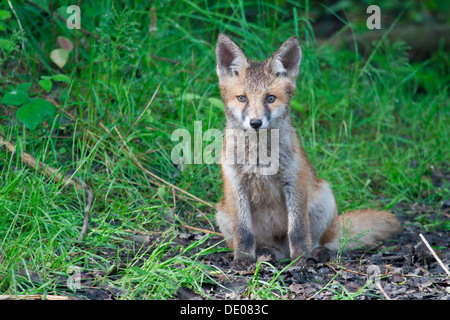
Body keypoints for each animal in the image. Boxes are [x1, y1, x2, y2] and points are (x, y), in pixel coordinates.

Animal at [214, 34, 400, 270]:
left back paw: (317, 253)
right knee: (270, 247)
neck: (260, 159)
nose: (255, 123)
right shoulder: (236, 186)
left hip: (325, 199)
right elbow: (244, 233)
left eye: (270, 98)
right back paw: (267, 254)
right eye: (242, 98)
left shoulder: (294, 182)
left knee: (326, 242)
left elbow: (298, 230)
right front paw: (242, 259)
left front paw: (301, 259)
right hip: (222, 214)